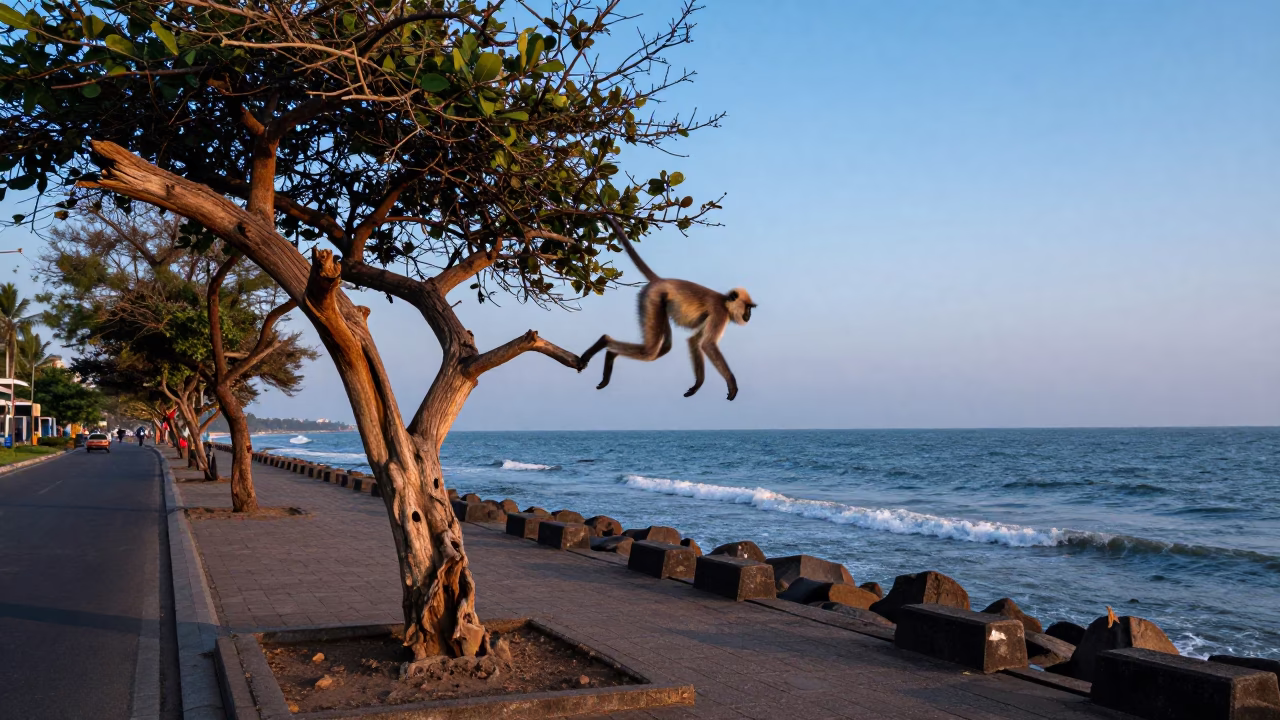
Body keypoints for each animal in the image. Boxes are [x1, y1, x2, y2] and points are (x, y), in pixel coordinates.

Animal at [578, 217, 755, 401]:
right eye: (748, 308)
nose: (749, 315)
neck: (724, 302)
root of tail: (660, 280)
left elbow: (694, 340)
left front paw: (697, 385)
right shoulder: (720, 313)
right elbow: (707, 345)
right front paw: (731, 382)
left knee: (664, 347)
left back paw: (611, 353)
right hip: (652, 298)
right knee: (649, 351)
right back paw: (605, 343)